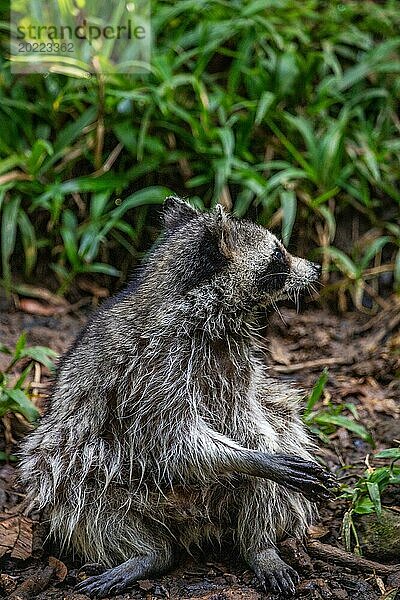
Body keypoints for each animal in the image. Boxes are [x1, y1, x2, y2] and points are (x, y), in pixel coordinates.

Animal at [18, 197, 332, 596]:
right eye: (278, 257)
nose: (316, 267)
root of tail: (194, 525)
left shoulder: (235, 361)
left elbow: (249, 415)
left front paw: (262, 451)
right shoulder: (152, 372)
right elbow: (171, 439)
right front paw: (255, 458)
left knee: (278, 439)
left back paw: (259, 545)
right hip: (73, 460)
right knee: (75, 484)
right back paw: (148, 552)